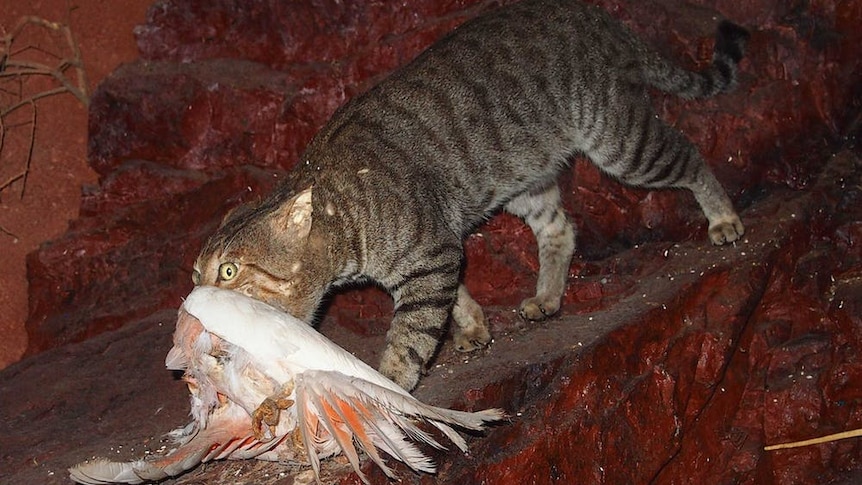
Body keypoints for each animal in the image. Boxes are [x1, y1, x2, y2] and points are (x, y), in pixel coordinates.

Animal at [194, 0, 748, 390]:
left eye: (230, 272)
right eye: (197, 273)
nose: (193, 305)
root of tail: (601, 18)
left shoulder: (431, 252)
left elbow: (409, 338)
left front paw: (390, 385)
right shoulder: (437, 251)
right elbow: (453, 298)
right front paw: (473, 325)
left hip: (621, 141)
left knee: (691, 156)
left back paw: (722, 218)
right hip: (525, 178)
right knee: (560, 230)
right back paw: (547, 296)